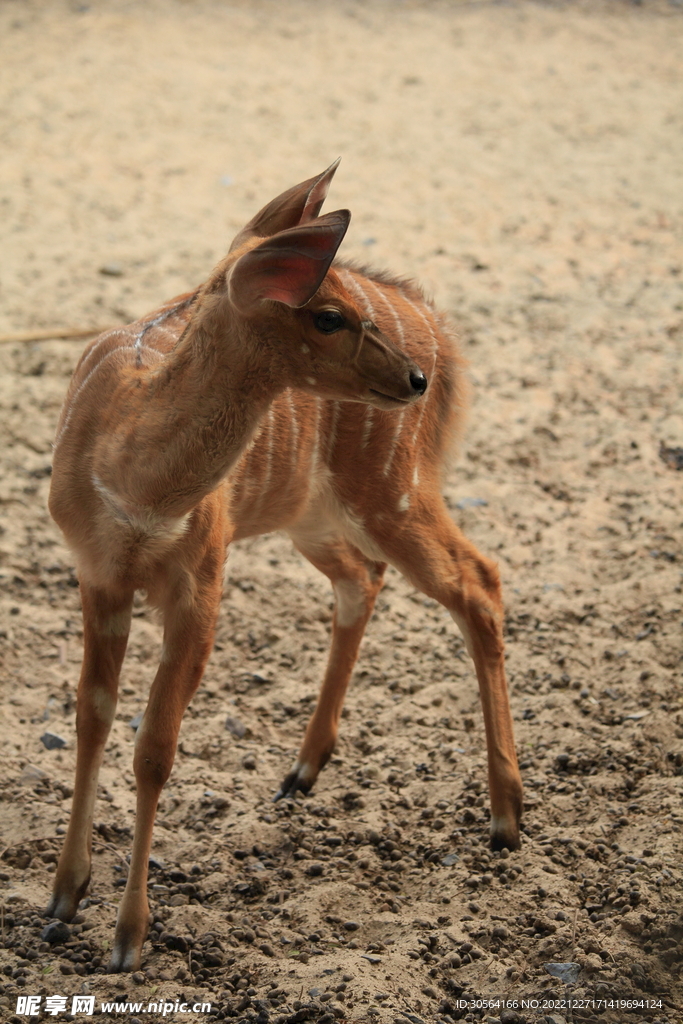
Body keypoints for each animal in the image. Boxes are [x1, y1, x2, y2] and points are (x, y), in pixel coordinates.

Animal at [45, 161, 523, 972]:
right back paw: (302, 772)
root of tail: (436, 325)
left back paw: (505, 819)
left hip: (390, 490)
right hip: (316, 515)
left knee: (478, 581)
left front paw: (128, 939)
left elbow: (155, 748)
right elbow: (91, 717)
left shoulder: (201, 582)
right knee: (364, 579)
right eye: (325, 316)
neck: (135, 483)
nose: (414, 379)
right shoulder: (98, 576)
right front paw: (60, 901)